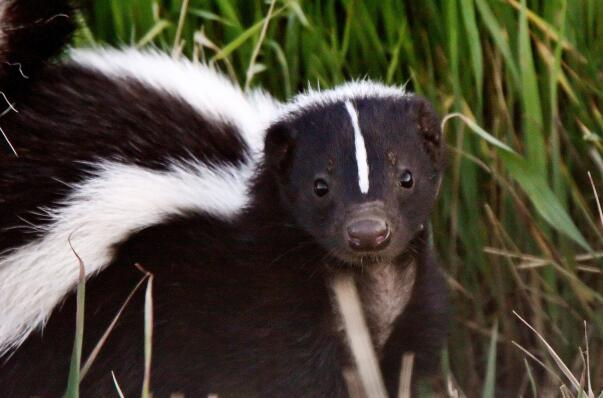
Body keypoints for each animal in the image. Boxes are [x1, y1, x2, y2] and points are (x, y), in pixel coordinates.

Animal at [0, 1, 448, 396]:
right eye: (319, 186)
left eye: (406, 178)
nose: (368, 232)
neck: (366, 281)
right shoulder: (258, 301)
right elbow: (288, 374)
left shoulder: (408, 313)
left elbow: (402, 372)